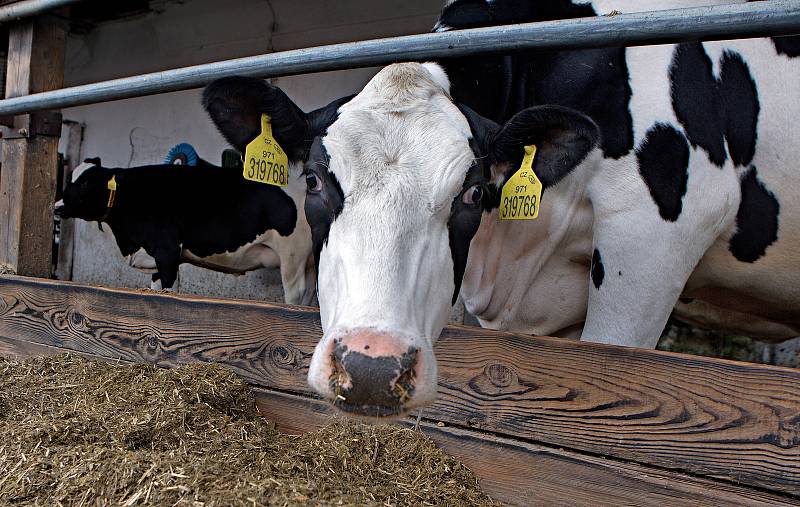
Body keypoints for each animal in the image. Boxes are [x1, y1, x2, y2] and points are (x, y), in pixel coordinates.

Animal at [54, 154, 318, 306]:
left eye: (86, 182)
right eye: (70, 178)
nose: (57, 206)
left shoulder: (167, 252)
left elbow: (170, 292)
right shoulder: (158, 258)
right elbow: (157, 290)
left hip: (292, 255)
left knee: (296, 295)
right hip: (309, 262)